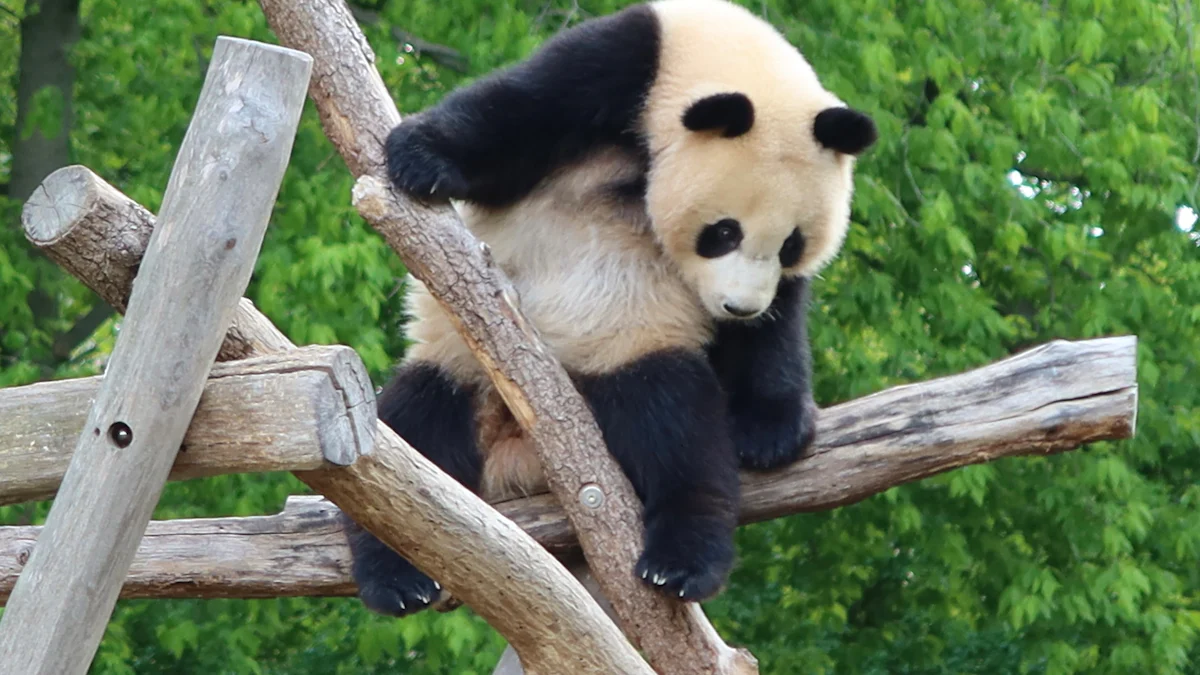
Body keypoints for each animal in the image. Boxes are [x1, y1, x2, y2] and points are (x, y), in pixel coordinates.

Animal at [345, 0, 873, 614]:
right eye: (723, 232)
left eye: (792, 244)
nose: (737, 306)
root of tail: (519, 459)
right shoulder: (622, 63)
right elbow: (516, 117)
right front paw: (419, 156)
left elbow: (774, 329)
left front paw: (769, 431)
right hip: (461, 362)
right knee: (412, 429)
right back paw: (398, 578)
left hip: (628, 347)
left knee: (674, 424)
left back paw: (680, 562)